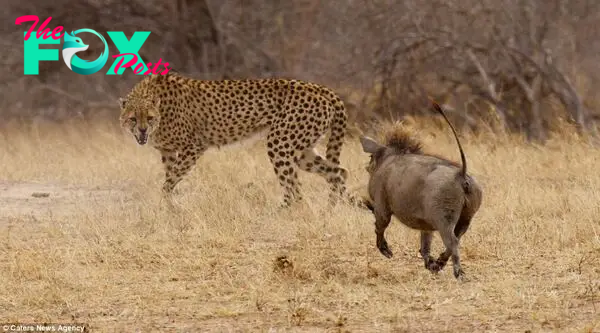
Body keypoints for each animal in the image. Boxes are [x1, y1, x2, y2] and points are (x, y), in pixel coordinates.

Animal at [117, 72, 360, 208]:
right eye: (132, 118)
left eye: (149, 117)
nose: (142, 131)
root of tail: (321, 88)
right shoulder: (167, 151)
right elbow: (170, 179)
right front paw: (169, 208)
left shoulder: (193, 146)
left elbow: (169, 181)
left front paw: (166, 205)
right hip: (301, 151)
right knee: (339, 172)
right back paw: (329, 210)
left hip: (279, 143)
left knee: (296, 189)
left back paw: (281, 213)